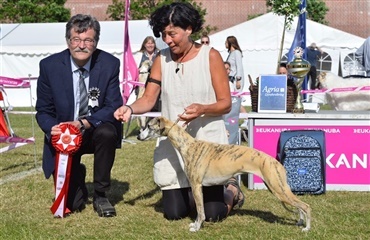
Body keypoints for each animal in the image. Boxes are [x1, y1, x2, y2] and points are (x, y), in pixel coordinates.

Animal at [147, 117, 310, 232]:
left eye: (149, 126)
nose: (141, 136)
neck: (188, 145)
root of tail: (277, 163)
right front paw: (195, 224)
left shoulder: (196, 185)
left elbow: (201, 211)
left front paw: (197, 227)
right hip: (278, 188)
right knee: (299, 206)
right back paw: (300, 222)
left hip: (278, 189)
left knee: (305, 206)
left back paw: (307, 228)